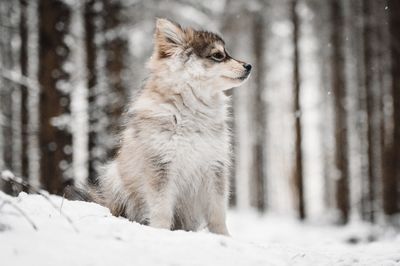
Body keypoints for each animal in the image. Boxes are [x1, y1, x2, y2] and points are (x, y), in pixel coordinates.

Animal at [80, 18, 250, 235]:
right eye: (218, 55)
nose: (249, 66)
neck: (191, 112)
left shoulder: (215, 168)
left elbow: (218, 213)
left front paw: (224, 237)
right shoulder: (160, 166)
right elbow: (161, 209)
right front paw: (160, 232)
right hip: (114, 177)